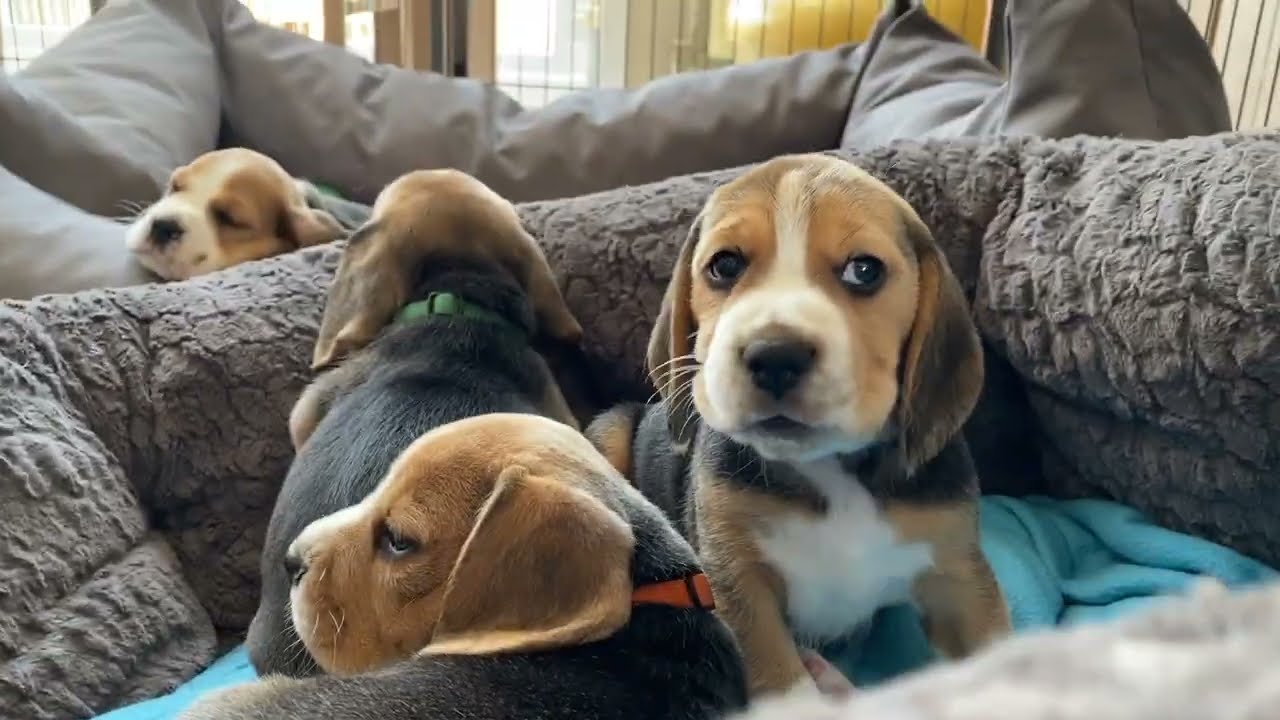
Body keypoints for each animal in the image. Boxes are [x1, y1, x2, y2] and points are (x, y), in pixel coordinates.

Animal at [586, 151, 1008, 696]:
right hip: (611, 430)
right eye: (725, 265)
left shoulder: (959, 576)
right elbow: (784, 684)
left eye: (864, 271)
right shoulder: (739, 585)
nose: (774, 356)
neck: (831, 471)